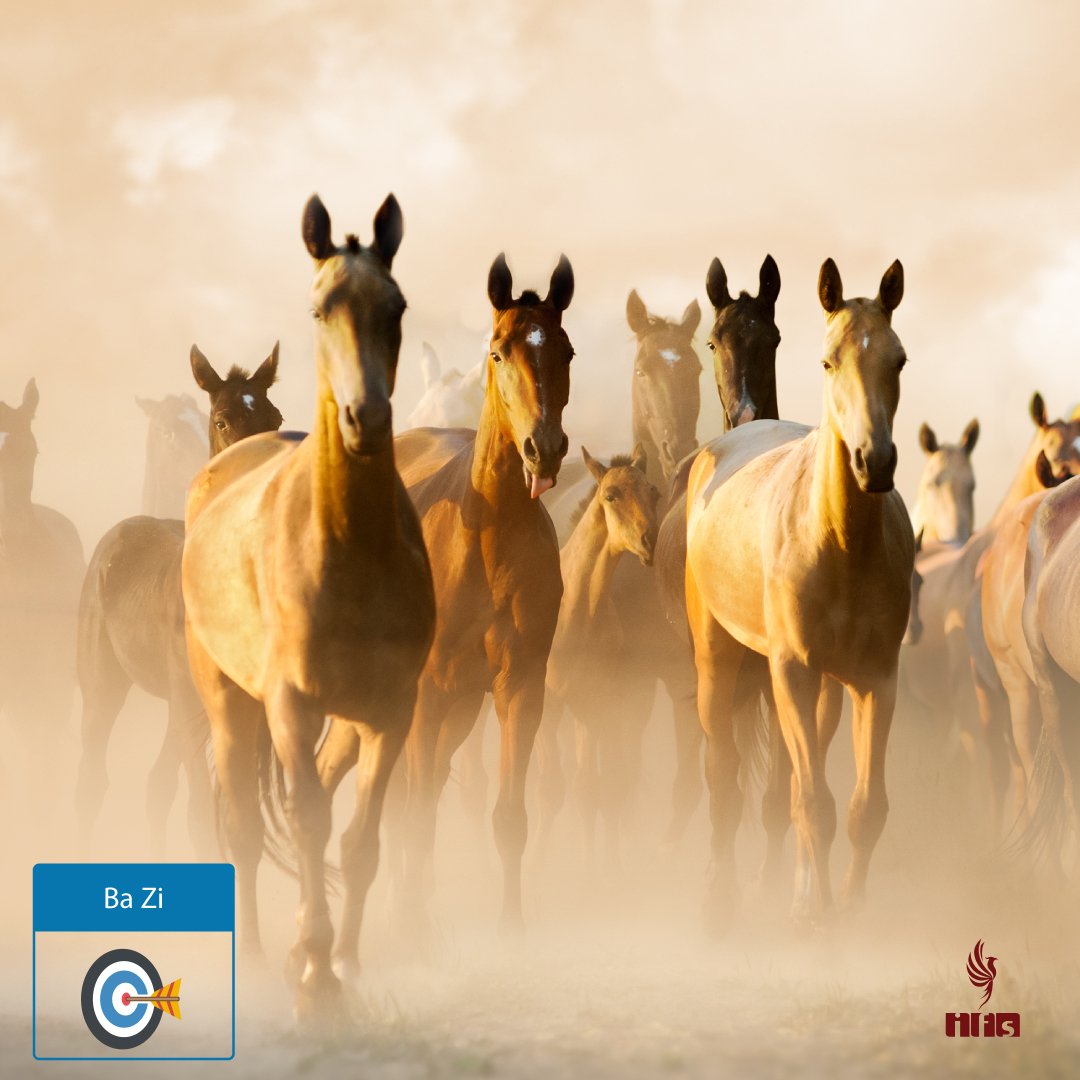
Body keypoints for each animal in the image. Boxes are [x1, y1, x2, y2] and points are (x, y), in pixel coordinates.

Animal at [75, 344, 283, 853]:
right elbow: (202, 821)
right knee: (93, 782)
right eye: (223, 420)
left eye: (275, 417)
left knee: (157, 786)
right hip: (104, 685)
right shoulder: (194, 709)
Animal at [182, 193, 435, 1018]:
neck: (348, 547)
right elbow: (309, 822)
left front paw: (343, 962)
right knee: (240, 825)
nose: (366, 418)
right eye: (321, 306)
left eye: (396, 306)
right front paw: (315, 973)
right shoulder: (288, 704)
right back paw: (262, 957)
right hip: (229, 703)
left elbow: (358, 840)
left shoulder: (391, 711)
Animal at [540, 446, 660, 866]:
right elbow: (554, 790)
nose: (650, 541)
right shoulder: (550, 705)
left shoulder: (595, 705)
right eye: (611, 495)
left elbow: (595, 789)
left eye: (654, 492)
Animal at [684, 258, 912, 927]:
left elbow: (863, 809)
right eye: (828, 361)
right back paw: (722, 896)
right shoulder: (792, 671)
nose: (873, 461)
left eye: (898, 360)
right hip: (720, 661)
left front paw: (845, 906)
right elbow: (812, 803)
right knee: (724, 774)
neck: (837, 540)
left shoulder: (875, 681)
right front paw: (818, 917)